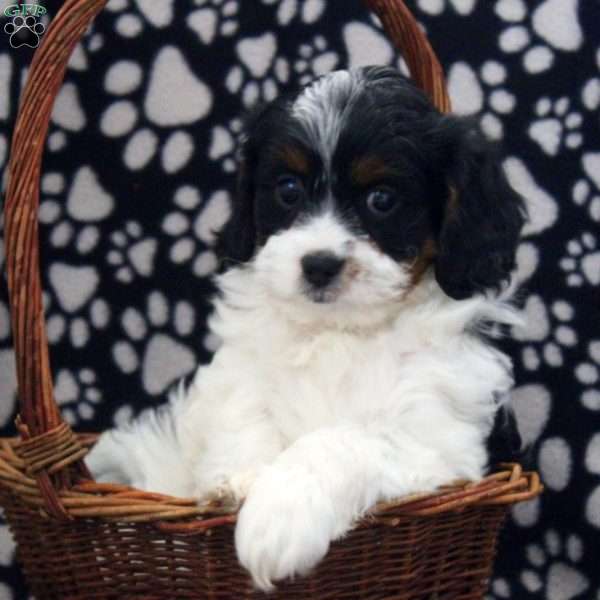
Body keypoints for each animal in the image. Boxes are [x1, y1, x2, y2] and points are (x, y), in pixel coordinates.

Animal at [85, 65, 524, 592]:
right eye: (289, 190)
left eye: (382, 199)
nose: (319, 264)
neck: (340, 331)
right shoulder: (245, 375)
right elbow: (246, 418)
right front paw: (236, 483)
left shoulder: (439, 446)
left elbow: (346, 440)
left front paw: (278, 516)